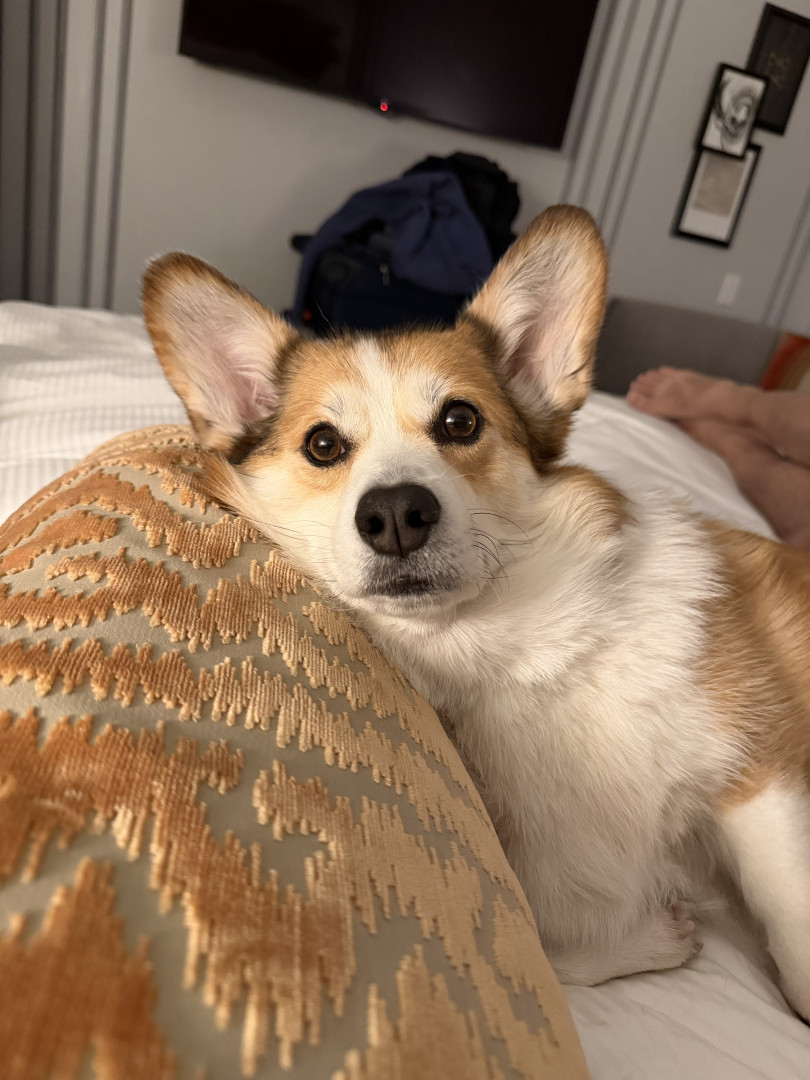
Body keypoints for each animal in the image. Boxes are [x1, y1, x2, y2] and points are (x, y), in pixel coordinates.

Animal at [142, 206, 810, 1019]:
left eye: (460, 421)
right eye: (323, 444)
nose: (396, 515)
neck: (507, 653)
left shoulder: (763, 775)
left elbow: (794, 938)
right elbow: (555, 946)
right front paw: (657, 935)